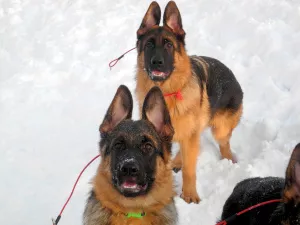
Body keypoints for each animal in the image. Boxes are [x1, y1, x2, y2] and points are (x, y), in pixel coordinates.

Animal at [135, 0, 243, 204]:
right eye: (149, 45)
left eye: (169, 45)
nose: (156, 62)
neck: (167, 94)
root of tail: (233, 77)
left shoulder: (190, 136)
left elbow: (189, 169)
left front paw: (189, 195)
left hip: (220, 129)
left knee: (224, 145)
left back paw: (229, 161)